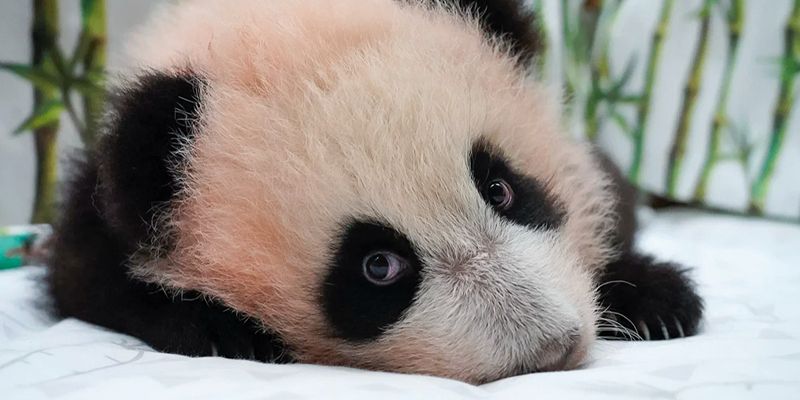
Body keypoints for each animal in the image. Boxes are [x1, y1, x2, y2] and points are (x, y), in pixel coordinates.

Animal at [46, 0, 703, 384]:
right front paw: (217, 329)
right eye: (379, 266)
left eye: (501, 189)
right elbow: (86, 279)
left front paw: (657, 300)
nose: (553, 349)